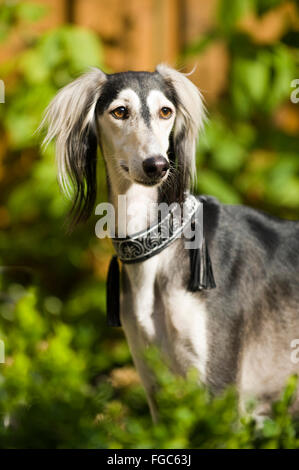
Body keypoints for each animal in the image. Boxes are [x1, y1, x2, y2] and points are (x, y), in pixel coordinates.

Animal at [41, 64, 299, 420]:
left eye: (166, 111)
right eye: (120, 111)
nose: (157, 165)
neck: (158, 253)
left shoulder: (219, 387)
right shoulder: (156, 387)